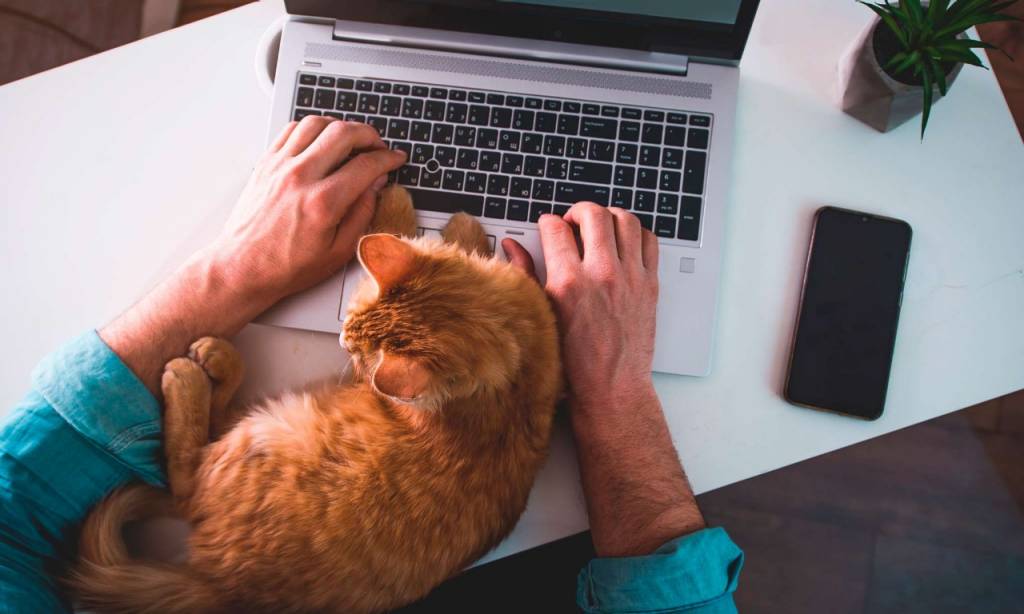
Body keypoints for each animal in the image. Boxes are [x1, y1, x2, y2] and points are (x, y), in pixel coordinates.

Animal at [70, 187, 561, 614]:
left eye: (355, 353)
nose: (342, 339)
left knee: (185, 474)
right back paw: (217, 359)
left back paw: (194, 370)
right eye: (350, 322)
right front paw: (459, 225)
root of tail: (221, 585)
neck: (513, 373)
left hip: (266, 432)